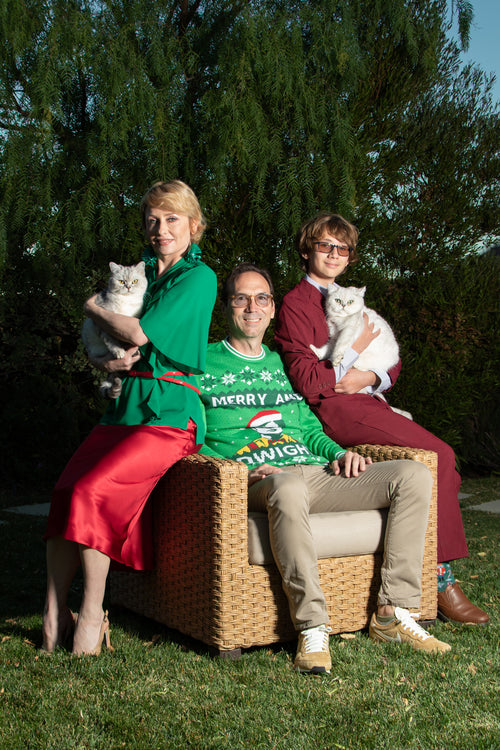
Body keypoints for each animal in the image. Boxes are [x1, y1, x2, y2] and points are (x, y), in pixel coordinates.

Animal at [82, 258, 147, 400]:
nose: (128, 287)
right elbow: (111, 341)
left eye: (135, 281)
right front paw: (119, 351)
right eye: (121, 281)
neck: (127, 303)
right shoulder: (102, 323)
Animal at [310, 284, 412, 424]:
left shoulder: (347, 332)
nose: (343, 305)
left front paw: (336, 360)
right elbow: (328, 348)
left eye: (350, 301)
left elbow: (339, 347)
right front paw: (317, 352)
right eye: (337, 300)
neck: (341, 320)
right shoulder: (335, 335)